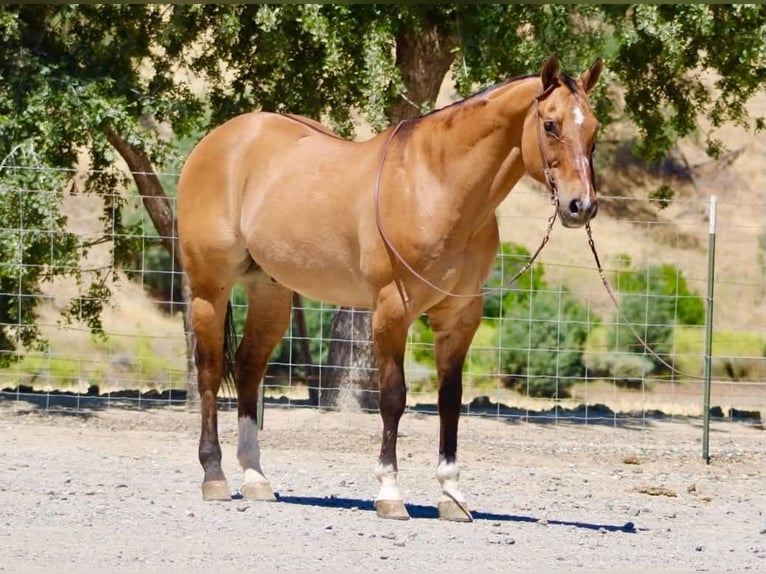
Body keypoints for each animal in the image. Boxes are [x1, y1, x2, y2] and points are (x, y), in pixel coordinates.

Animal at [177, 54, 602, 521]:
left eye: (594, 129)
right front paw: (390, 492)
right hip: (209, 287)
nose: (581, 206)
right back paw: (214, 476)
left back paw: (256, 478)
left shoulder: (459, 316)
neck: (434, 184)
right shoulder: (391, 310)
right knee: (210, 370)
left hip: (269, 291)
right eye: (550, 124)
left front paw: (452, 495)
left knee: (249, 367)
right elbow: (393, 397)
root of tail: (219, 141)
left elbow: (449, 398)